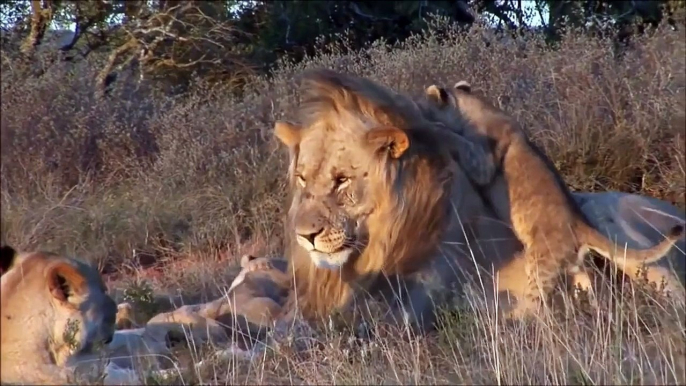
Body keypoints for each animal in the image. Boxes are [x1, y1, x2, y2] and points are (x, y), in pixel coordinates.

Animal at [428, 80, 684, 316]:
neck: (475, 108)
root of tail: (581, 225)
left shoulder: (483, 162)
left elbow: (457, 141)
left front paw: (435, 127)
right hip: (575, 269)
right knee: (587, 287)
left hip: (541, 266)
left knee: (537, 305)